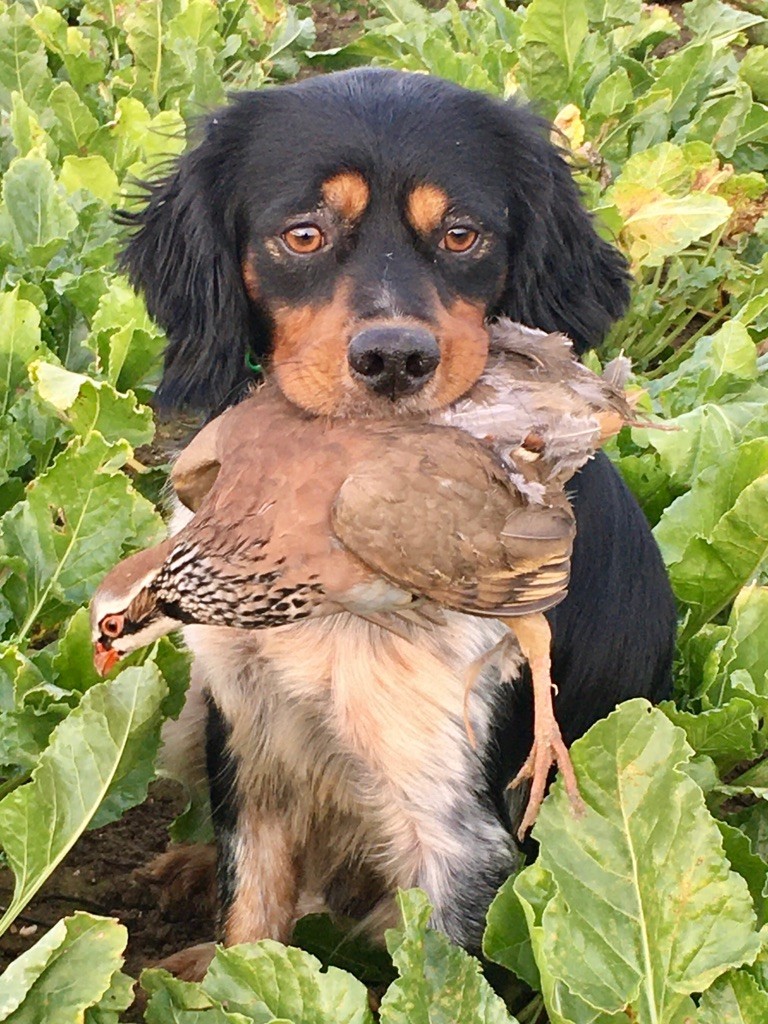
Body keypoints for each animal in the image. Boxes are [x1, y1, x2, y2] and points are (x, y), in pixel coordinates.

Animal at [117, 70, 675, 966]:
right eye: (303, 235)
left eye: (462, 235)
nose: (393, 360)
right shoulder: (254, 738)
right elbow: (251, 931)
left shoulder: (461, 835)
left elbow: (440, 978)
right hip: (198, 717)